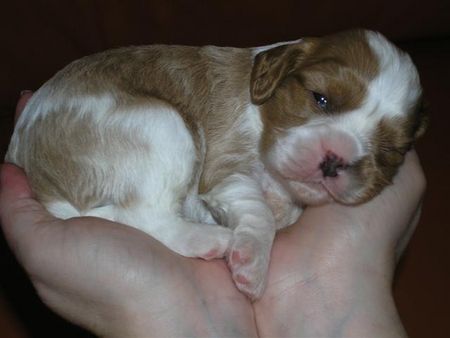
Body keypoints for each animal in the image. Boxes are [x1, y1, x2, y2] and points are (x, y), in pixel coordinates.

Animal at [7, 29, 428, 298]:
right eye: (320, 98)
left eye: (389, 151)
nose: (333, 160)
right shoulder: (224, 168)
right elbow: (256, 209)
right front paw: (251, 261)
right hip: (165, 126)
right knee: (145, 216)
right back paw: (212, 239)